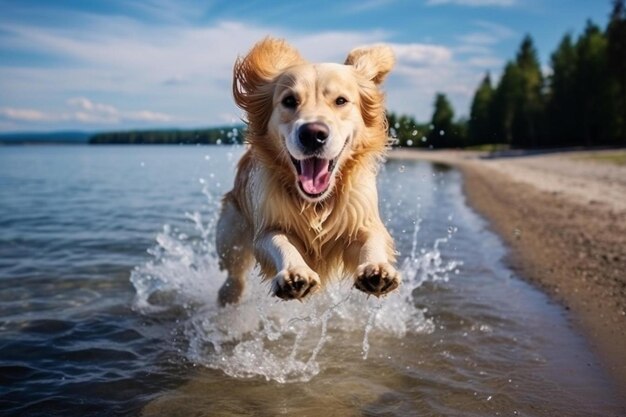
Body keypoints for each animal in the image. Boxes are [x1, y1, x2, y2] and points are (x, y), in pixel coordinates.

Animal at [217, 38, 398, 306]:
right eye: (289, 101)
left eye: (341, 101)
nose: (313, 134)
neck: (317, 204)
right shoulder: (267, 224)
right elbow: (279, 241)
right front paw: (294, 273)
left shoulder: (361, 216)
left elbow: (372, 238)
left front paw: (377, 269)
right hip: (230, 233)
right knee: (234, 272)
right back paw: (229, 294)